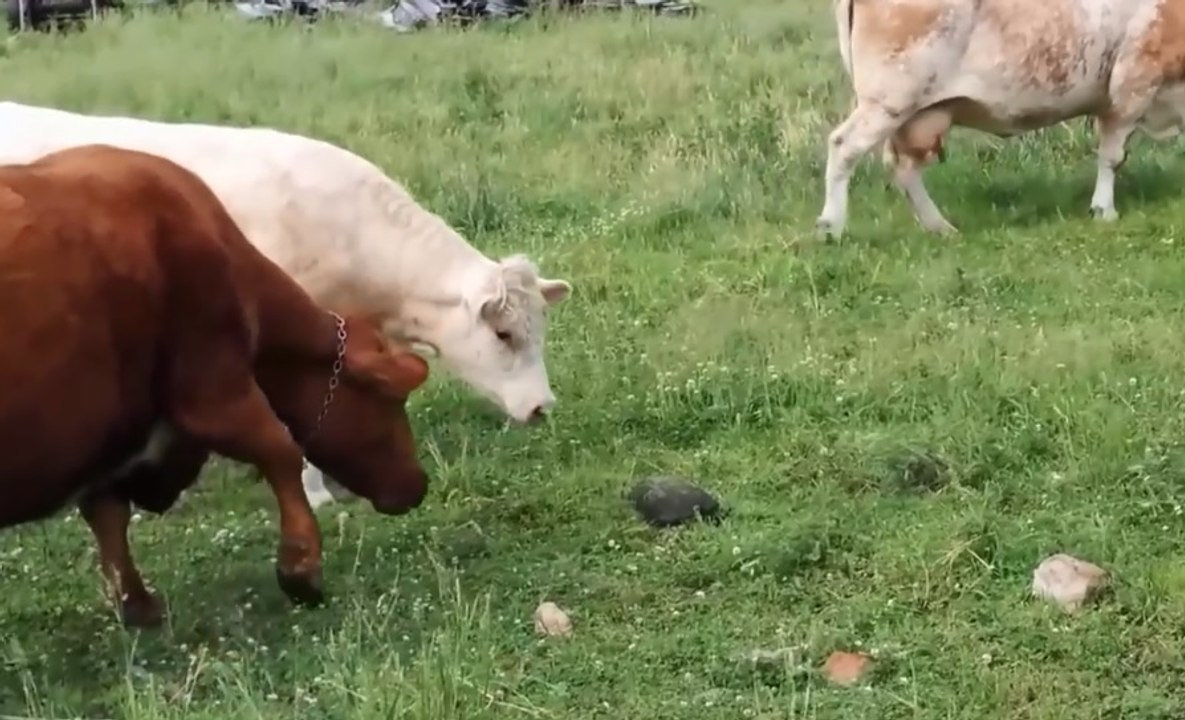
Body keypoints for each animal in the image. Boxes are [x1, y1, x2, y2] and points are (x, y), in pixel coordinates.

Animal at [0, 144, 435, 628]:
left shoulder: (112, 432)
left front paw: (138, 605)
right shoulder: (213, 390)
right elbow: (281, 450)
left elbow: (106, 512)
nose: (418, 484)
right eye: (390, 401)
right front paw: (301, 571)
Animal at [817, 0, 1185, 239]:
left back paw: (940, 227)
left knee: (903, 166)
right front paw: (1104, 210)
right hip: (889, 99)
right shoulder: (1133, 81)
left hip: (918, 112)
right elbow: (1112, 156)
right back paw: (831, 226)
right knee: (845, 146)